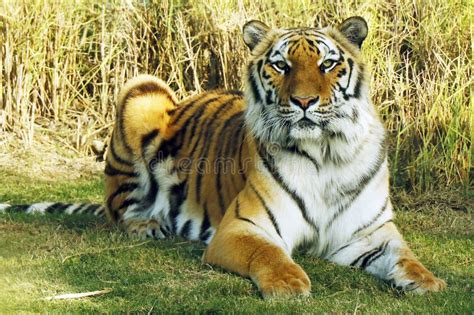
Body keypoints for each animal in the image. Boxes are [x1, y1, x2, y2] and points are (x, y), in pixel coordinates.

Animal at [0, 17, 444, 302]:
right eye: (281, 65)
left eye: (328, 64)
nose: (303, 102)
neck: (325, 153)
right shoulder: (242, 227)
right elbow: (270, 255)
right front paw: (289, 284)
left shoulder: (369, 234)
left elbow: (406, 258)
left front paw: (430, 283)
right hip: (143, 90)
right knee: (117, 206)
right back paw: (149, 225)